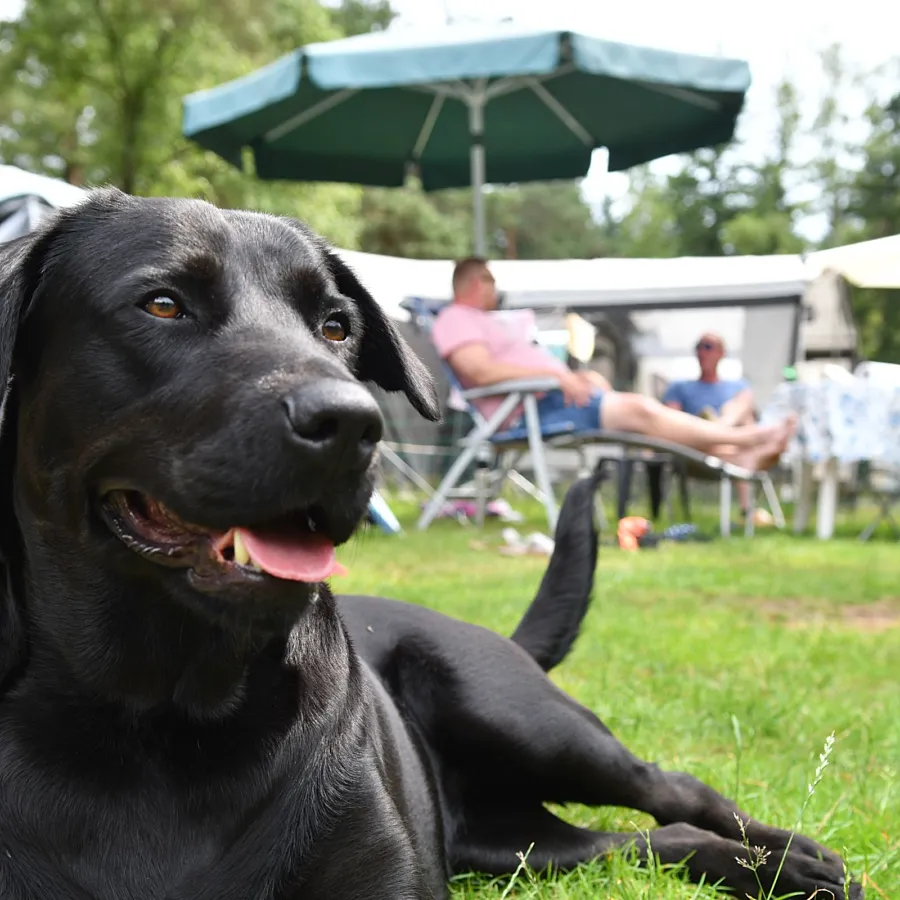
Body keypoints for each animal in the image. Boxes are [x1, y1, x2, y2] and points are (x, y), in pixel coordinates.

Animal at [0, 192, 856, 900]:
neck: (161, 723)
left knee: (675, 790)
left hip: (523, 718)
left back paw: (790, 860)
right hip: (515, 845)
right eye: (163, 304)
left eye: (335, 326)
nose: (352, 422)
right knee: (644, 841)